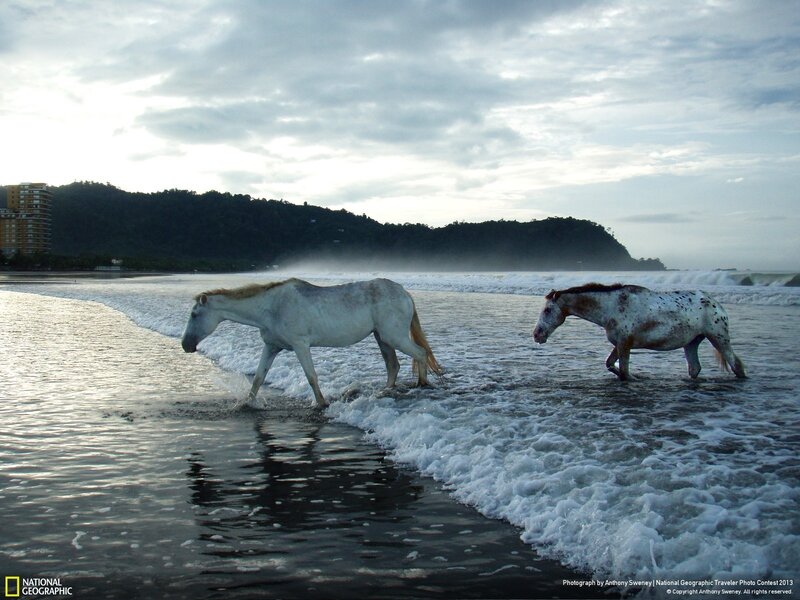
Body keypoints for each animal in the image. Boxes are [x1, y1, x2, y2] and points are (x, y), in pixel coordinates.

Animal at [181, 278, 443, 406]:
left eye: (195, 314)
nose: (186, 345)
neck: (272, 307)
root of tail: (404, 292)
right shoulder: (271, 347)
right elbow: (258, 378)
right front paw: (247, 404)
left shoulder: (300, 345)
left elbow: (311, 376)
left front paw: (321, 404)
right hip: (382, 337)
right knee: (393, 366)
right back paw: (385, 391)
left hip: (393, 336)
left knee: (419, 353)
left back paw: (422, 385)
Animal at [532, 283, 746, 381]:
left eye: (547, 310)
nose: (537, 334)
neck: (611, 307)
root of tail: (716, 304)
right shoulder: (619, 344)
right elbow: (611, 364)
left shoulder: (625, 344)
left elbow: (624, 371)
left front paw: (633, 378)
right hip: (691, 343)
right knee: (694, 369)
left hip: (718, 338)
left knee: (736, 365)